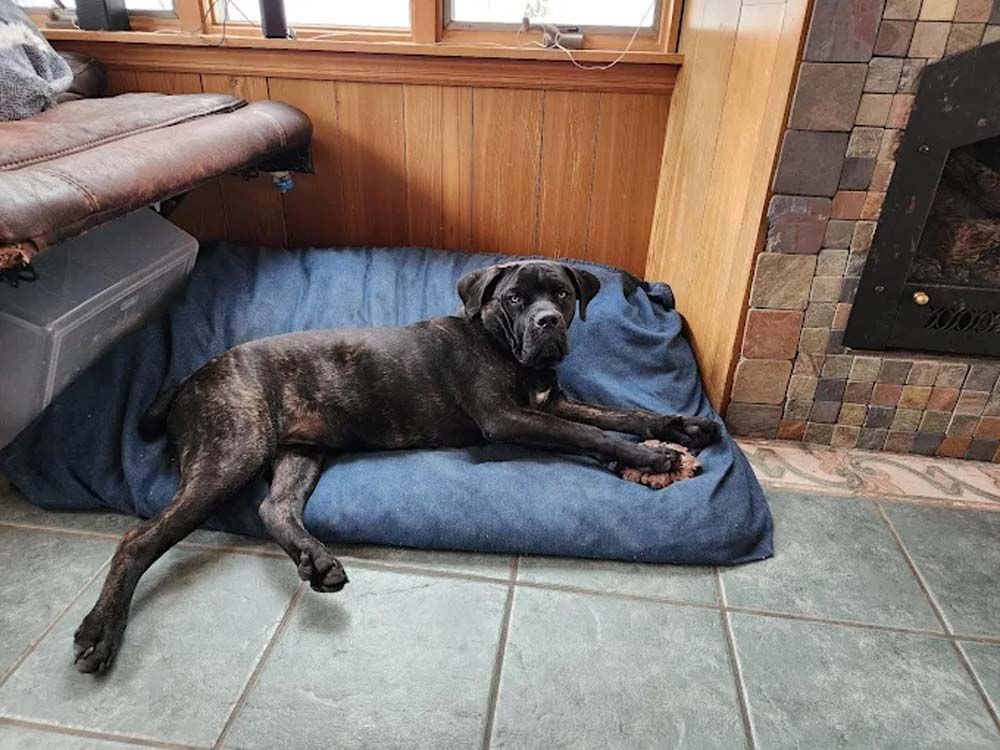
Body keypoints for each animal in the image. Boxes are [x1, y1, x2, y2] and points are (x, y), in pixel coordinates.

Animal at [71, 260, 720, 674]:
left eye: (560, 295)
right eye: (515, 298)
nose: (549, 323)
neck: (503, 346)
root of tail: (189, 379)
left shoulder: (549, 404)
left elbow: (620, 412)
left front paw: (681, 427)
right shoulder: (511, 418)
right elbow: (593, 431)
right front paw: (654, 456)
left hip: (299, 453)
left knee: (273, 508)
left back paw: (317, 560)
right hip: (232, 452)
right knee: (139, 539)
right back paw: (101, 631)